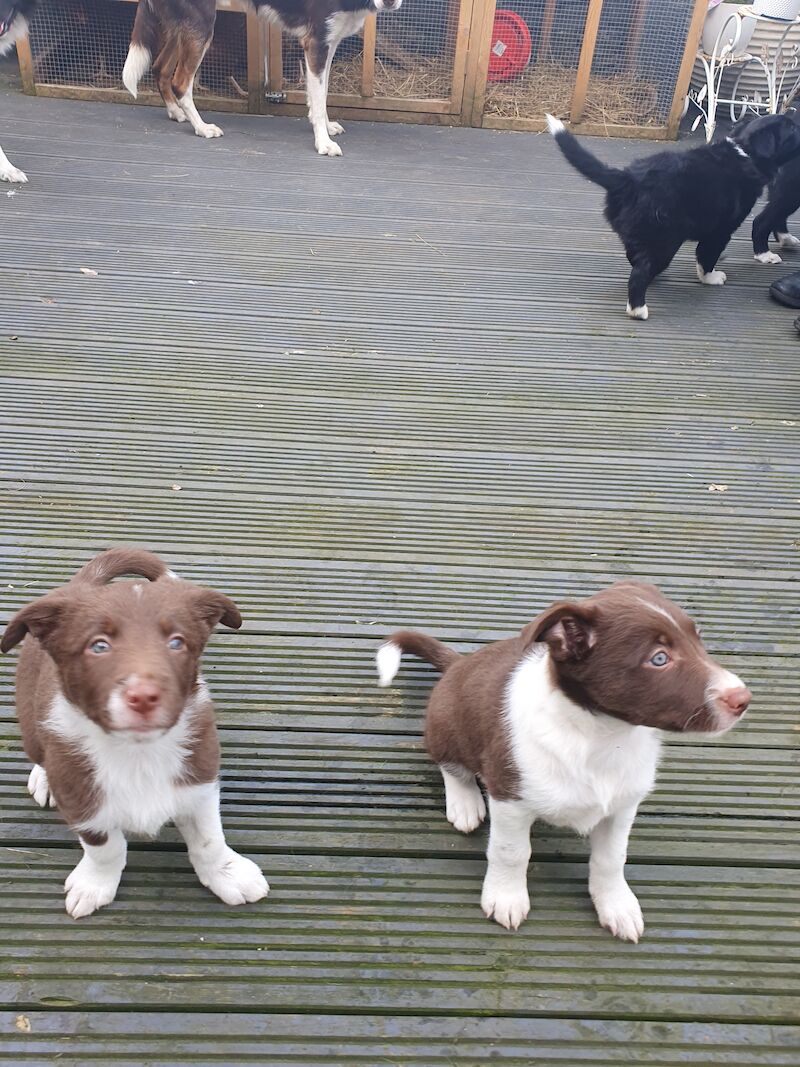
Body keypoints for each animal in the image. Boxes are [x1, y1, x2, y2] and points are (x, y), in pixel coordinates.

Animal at [0, 550, 270, 917]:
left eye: (176, 643)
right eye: (98, 646)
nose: (144, 696)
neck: (137, 751)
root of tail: (82, 583)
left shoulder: (200, 780)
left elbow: (209, 838)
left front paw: (228, 874)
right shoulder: (83, 801)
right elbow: (106, 848)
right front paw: (94, 885)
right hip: (30, 716)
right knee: (39, 751)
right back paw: (44, 780)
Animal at [120, 0, 401, 155]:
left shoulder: (327, 44)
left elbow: (319, 97)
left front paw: (325, 127)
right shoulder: (317, 43)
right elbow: (319, 100)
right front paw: (323, 143)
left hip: (182, 25)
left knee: (160, 68)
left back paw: (176, 112)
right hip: (200, 23)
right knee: (181, 82)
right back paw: (201, 128)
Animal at [550, 114, 800, 320]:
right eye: (792, 129)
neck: (744, 152)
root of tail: (627, 179)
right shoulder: (720, 230)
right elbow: (706, 256)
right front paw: (710, 278)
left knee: (635, 258)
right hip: (664, 241)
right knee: (639, 273)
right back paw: (638, 310)